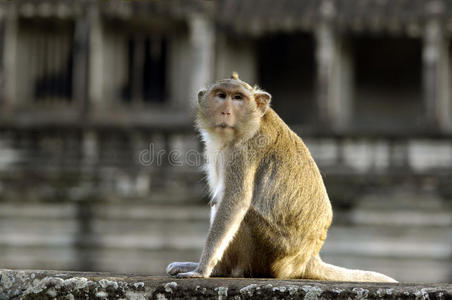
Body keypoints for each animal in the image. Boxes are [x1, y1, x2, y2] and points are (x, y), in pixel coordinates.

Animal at [166, 72, 396, 282]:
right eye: (221, 95)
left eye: (238, 98)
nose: (225, 110)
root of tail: (306, 259)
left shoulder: (242, 152)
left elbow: (235, 202)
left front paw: (202, 269)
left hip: (271, 254)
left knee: (245, 214)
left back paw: (222, 270)